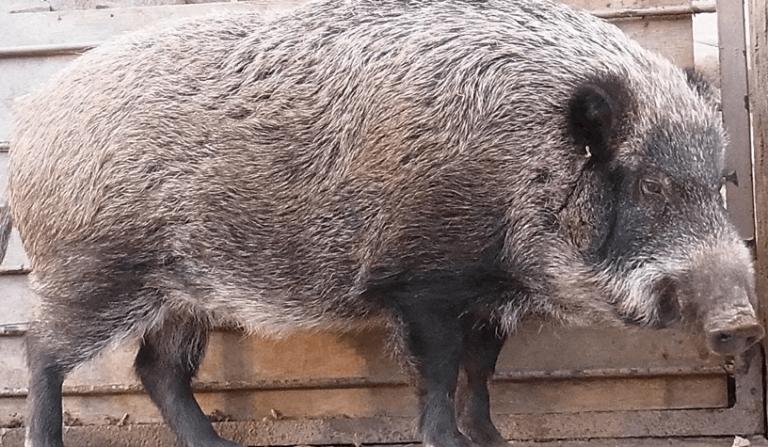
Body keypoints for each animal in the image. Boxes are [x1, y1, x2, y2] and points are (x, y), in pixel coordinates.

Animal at [0, 0, 763, 446]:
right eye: (653, 185)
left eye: (720, 183)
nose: (746, 323)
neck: (522, 163)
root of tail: (31, 125)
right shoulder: (423, 279)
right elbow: (440, 370)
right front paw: (448, 442)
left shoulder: (491, 295)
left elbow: (481, 372)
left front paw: (495, 441)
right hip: (96, 267)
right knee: (43, 349)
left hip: (184, 293)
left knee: (156, 369)